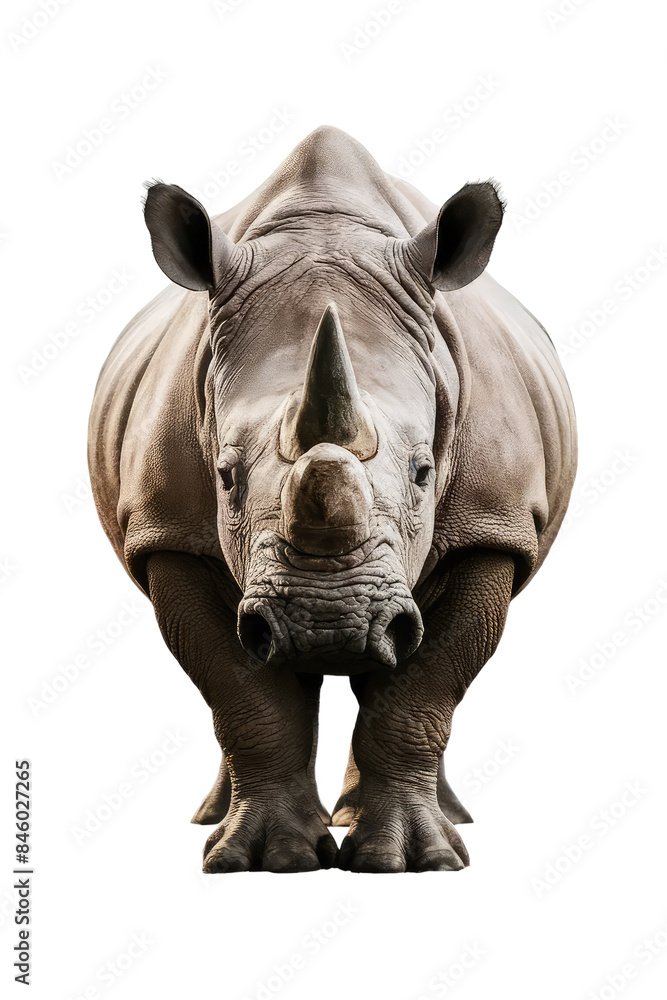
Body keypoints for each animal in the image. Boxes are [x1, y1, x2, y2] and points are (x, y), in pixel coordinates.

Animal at [88, 126, 576, 873]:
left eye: (424, 472)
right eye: (224, 476)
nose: (327, 625)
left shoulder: (492, 524)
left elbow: (425, 689)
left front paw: (412, 860)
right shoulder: (168, 530)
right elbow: (241, 694)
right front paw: (268, 859)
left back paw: (437, 817)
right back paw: (213, 817)